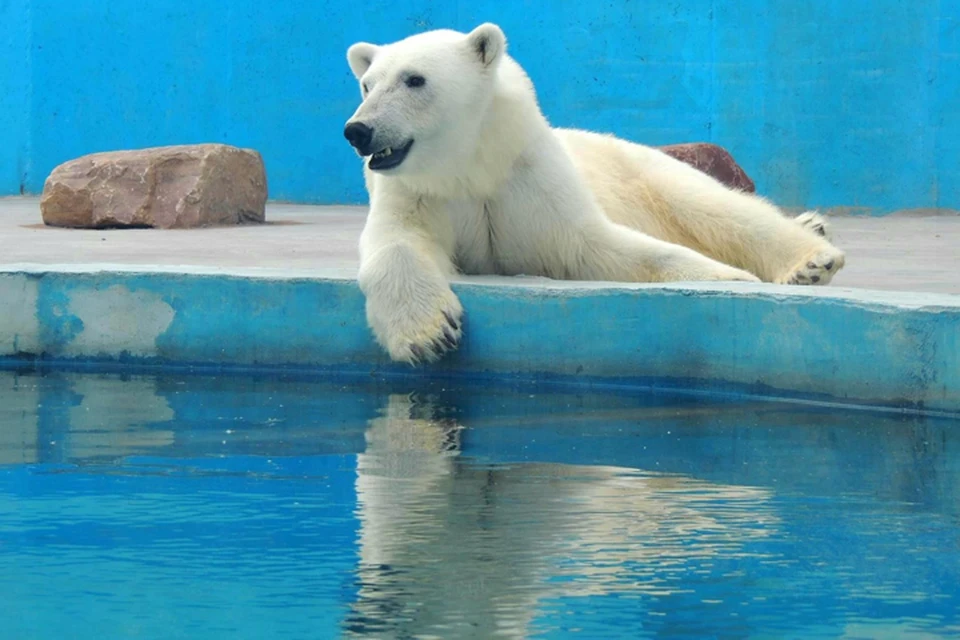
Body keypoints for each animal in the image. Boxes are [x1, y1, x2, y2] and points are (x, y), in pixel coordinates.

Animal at [344, 22, 848, 362]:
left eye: (414, 79)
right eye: (367, 84)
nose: (358, 130)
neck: (470, 165)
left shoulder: (529, 178)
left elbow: (596, 243)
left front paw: (734, 278)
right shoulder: (417, 192)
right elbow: (397, 241)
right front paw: (431, 334)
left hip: (646, 170)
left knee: (716, 207)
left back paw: (812, 258)